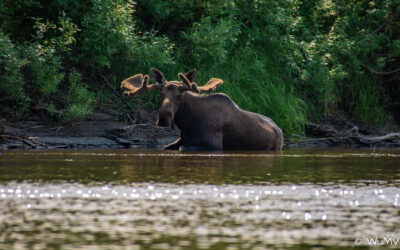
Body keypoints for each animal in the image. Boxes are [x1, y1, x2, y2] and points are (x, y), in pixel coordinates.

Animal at [120, 68, 282, 150]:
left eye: (180, 95)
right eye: (161, 94)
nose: (164, 118)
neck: (187, 124)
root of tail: (278, 128)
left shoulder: (213, 145)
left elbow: (184, 149)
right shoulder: (180, 140)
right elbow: (166, 147)